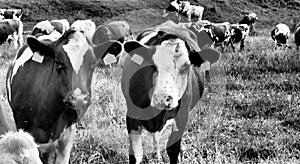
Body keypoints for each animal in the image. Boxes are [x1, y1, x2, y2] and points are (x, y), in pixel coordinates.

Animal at [119, 20, 220, 164]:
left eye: (186, 66)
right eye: (152, 64)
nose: (162, 98)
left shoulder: (182, 118)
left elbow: (173, 150)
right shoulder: (132, 116)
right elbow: (135, 154)